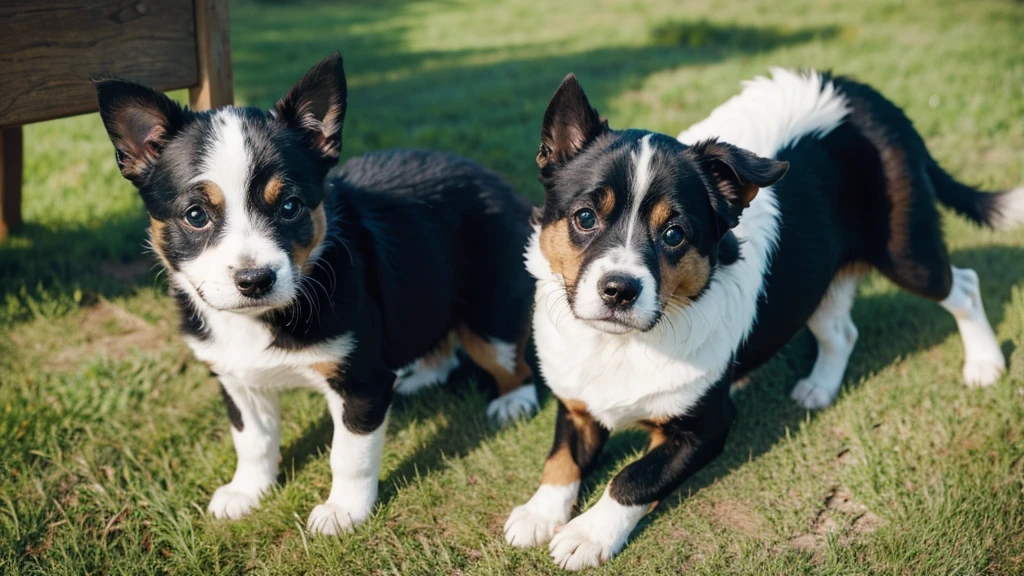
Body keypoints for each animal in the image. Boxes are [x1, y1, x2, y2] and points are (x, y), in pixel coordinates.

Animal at [96, 51, 540, 532]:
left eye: (290, 207)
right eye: (196, 215)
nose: (254, 280)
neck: (260, 320)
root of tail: (501, 185)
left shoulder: (360, 380)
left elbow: (349, 455)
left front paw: (344, 511)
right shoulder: (236, 378)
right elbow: (251, 441)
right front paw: (246, 492)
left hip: (488, 313)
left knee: (511, 362)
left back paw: (512, 403)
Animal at [501, 68, 1015, 565]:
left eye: (674, 234)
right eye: (585, 217)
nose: (619, 290)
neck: (624, 344)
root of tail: (864, 93)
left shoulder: (706, 428)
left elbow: (634, 476)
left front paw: (587, 535)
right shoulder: (576, 401)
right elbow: (561, 457)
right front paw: (539, 513)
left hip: (906, 253)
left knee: (963, 286)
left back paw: (984, 364)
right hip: (812, 275)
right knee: (842, 330)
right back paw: (820, 386)